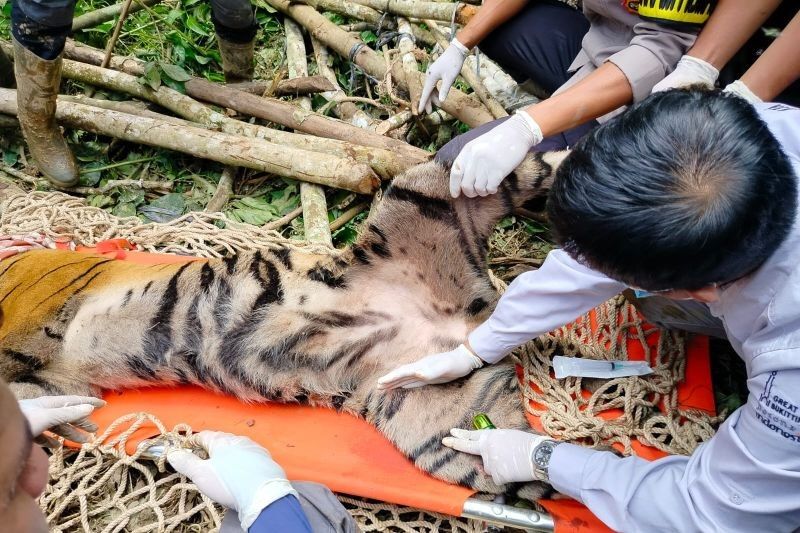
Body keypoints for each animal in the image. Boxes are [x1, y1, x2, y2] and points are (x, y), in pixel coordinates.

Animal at [0, 152, 564, 500]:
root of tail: (476, 317)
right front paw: (62, 421)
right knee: (530, 473)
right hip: (445, 429)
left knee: (532, 165)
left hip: (426, 192)